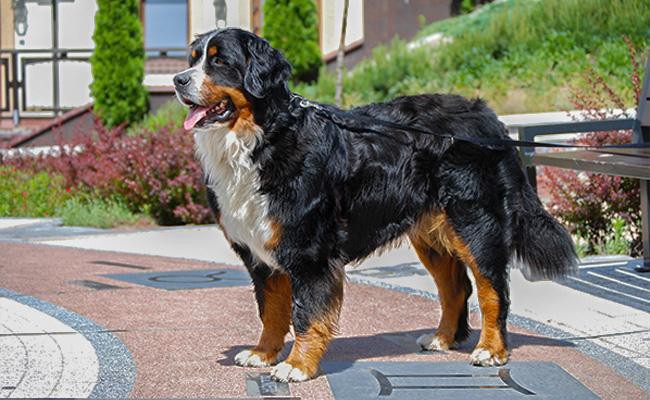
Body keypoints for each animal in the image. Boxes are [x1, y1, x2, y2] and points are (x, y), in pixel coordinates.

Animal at [171, 28, 572, 382]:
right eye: (193, 59)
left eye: (219, 61)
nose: (177, 80)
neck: (261, 140)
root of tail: (489, 117)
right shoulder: (260, 253)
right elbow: (270, 311)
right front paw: (263, 353)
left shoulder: (310, 253)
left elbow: (305, 315)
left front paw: (297, 366)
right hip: (431, 235)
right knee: (455, 287)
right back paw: (443, 338)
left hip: (475, 222)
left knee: (493, 290)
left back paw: (490, 349)